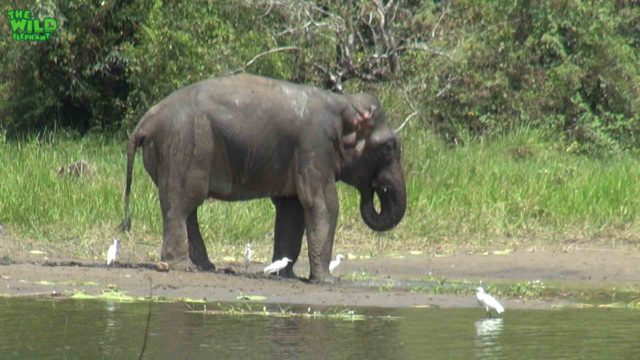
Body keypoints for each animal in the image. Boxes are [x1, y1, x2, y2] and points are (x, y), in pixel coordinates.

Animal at [121, 72, 404, 282]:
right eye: (390, 146)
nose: (374, 189)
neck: (344, 103)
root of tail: (144, 122)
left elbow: (291, 208)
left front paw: (285, 274)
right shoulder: (314, 145)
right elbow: (324, 204)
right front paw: (327, 281)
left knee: (185, 208)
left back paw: (205, 266)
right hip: (183, 147)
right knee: (181, 205)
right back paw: (182, 267)